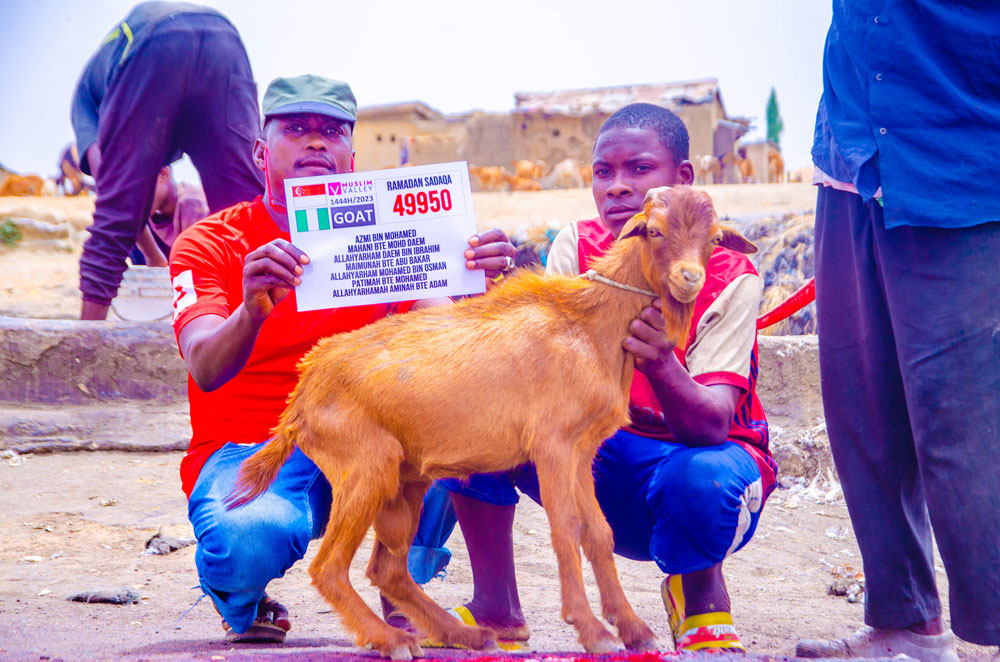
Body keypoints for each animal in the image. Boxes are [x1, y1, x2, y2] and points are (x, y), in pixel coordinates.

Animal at [229, 185, 758, 659]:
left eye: (714, 237)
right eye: (653, 230)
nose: (690, 278)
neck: (589, 325)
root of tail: (302, 395)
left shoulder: (583, 449)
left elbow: (598, 531)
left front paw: (634, 630)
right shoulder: (552, 445)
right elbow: (566, 528)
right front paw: (593, 631)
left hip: (405, 480)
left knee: (388, 569)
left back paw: (463, 634)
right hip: (365, 469)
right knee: (329, 567)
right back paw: (392, 639)